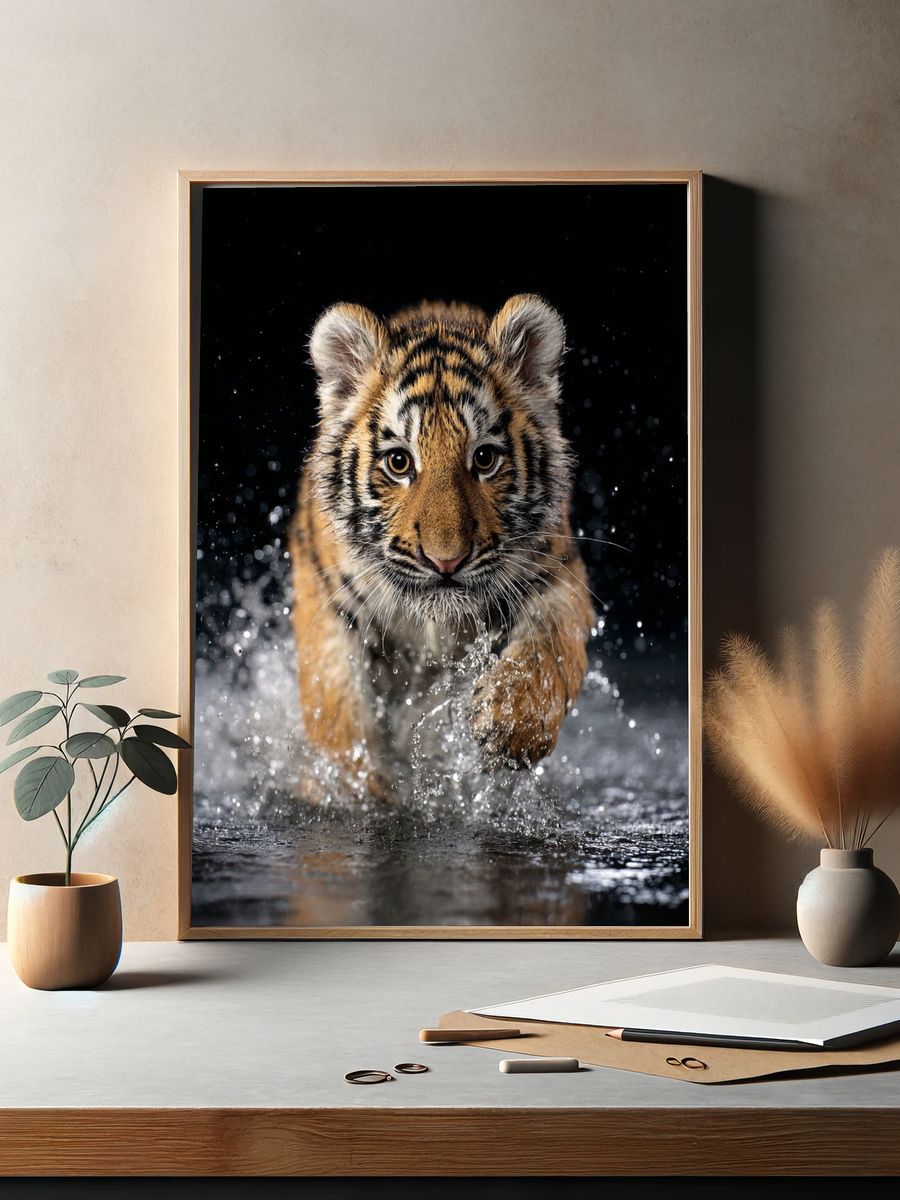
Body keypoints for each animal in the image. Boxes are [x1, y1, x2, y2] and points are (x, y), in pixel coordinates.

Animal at [288, 294, 595, 796]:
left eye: (484, 459)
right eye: (399, 462)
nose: (445, 561)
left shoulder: (556, 573)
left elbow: (548, 652)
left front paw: (509, 723)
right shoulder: (330, 603)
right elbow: (337, 711)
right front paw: (357, 790)